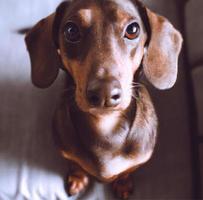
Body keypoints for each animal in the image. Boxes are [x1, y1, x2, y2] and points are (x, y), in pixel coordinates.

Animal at [25, 0, 182, 198]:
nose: (104, 93)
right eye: (71, 30)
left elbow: (127, 171)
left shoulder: (139, 160)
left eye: (133, 29)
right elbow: (76, 165)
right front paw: (77, 178)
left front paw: (122, 183)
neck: (105, 126)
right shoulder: (66, 152)